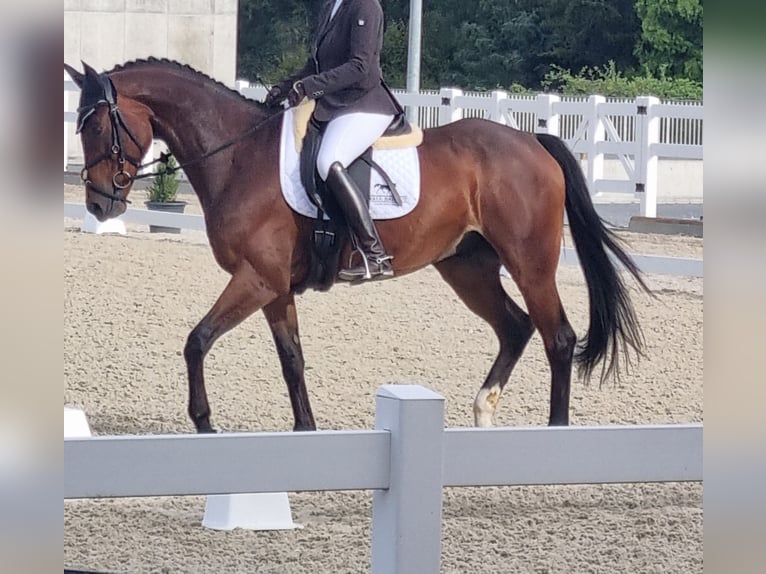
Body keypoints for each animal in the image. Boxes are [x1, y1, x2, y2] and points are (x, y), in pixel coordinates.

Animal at [67, 59, 656, 436]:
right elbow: (292, 360)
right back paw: (484, 411)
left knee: (558, 337)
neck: (238, 156)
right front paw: (305, 430)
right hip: (466, 267)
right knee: (515, 327)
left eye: (96, 126)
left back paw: (555, 433)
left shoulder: (255, 278)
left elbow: (197, 341)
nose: (99, 203)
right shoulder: (274, 286)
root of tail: (532, 140)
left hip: (530, 263)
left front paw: (204, 422)